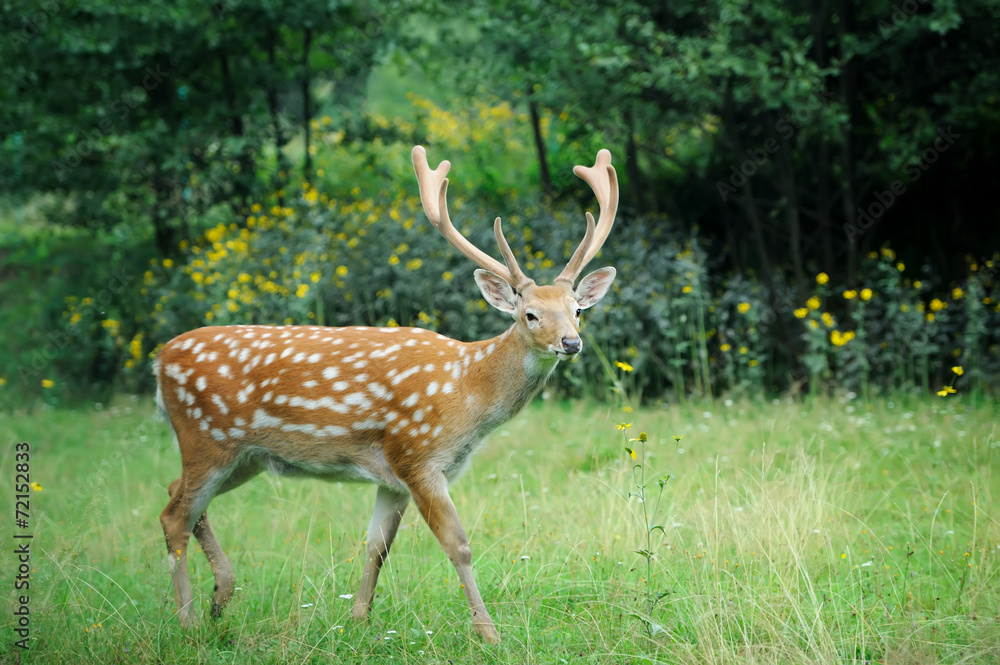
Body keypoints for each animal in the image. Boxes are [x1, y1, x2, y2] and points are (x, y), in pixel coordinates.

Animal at [155, 143, 616, 640]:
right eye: (530, 314)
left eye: (576, 310)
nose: (571, 342)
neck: (467, 391)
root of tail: (159, 361)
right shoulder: (417, 455)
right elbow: (459, 546)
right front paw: (489, 634)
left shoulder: (392, 474)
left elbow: (376, 546)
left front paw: (358, 620)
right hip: (206, 438)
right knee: (174, 516)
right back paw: (188, 620)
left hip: (246, 457)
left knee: (176, 495)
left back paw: (220, 597)